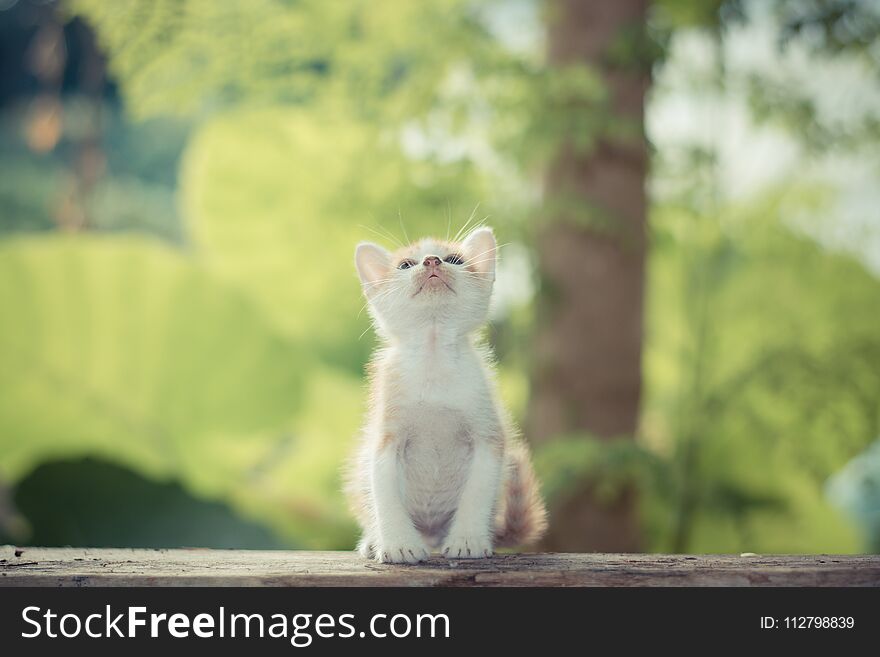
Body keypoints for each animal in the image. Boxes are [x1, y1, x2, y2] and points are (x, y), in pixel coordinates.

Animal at [346, 227, 548, 564]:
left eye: (454, 259)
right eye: (405, 265)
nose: (431, 261)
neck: (433, 355)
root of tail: (431, 535)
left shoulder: (487, 435)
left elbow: (477, 492)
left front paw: (467, 540)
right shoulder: (385, 438)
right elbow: (385, 494)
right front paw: (398, 544)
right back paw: (376, 541)